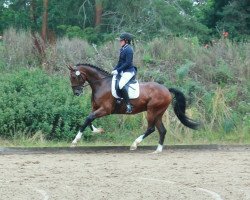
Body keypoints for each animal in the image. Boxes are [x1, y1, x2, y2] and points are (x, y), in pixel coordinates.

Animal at [68, 63, 199, 152]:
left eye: (74, 77)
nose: (77, 93)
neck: (101, 84)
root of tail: (166, 89)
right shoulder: (95, 108)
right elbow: (88, 120)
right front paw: (98, 130)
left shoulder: (105, 110)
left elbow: (88, 119)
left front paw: (75, 141)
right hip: (158, 113)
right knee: (162, 130)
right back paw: (157, 150)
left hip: (152, 111)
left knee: (151, 128)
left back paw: (135, 144)